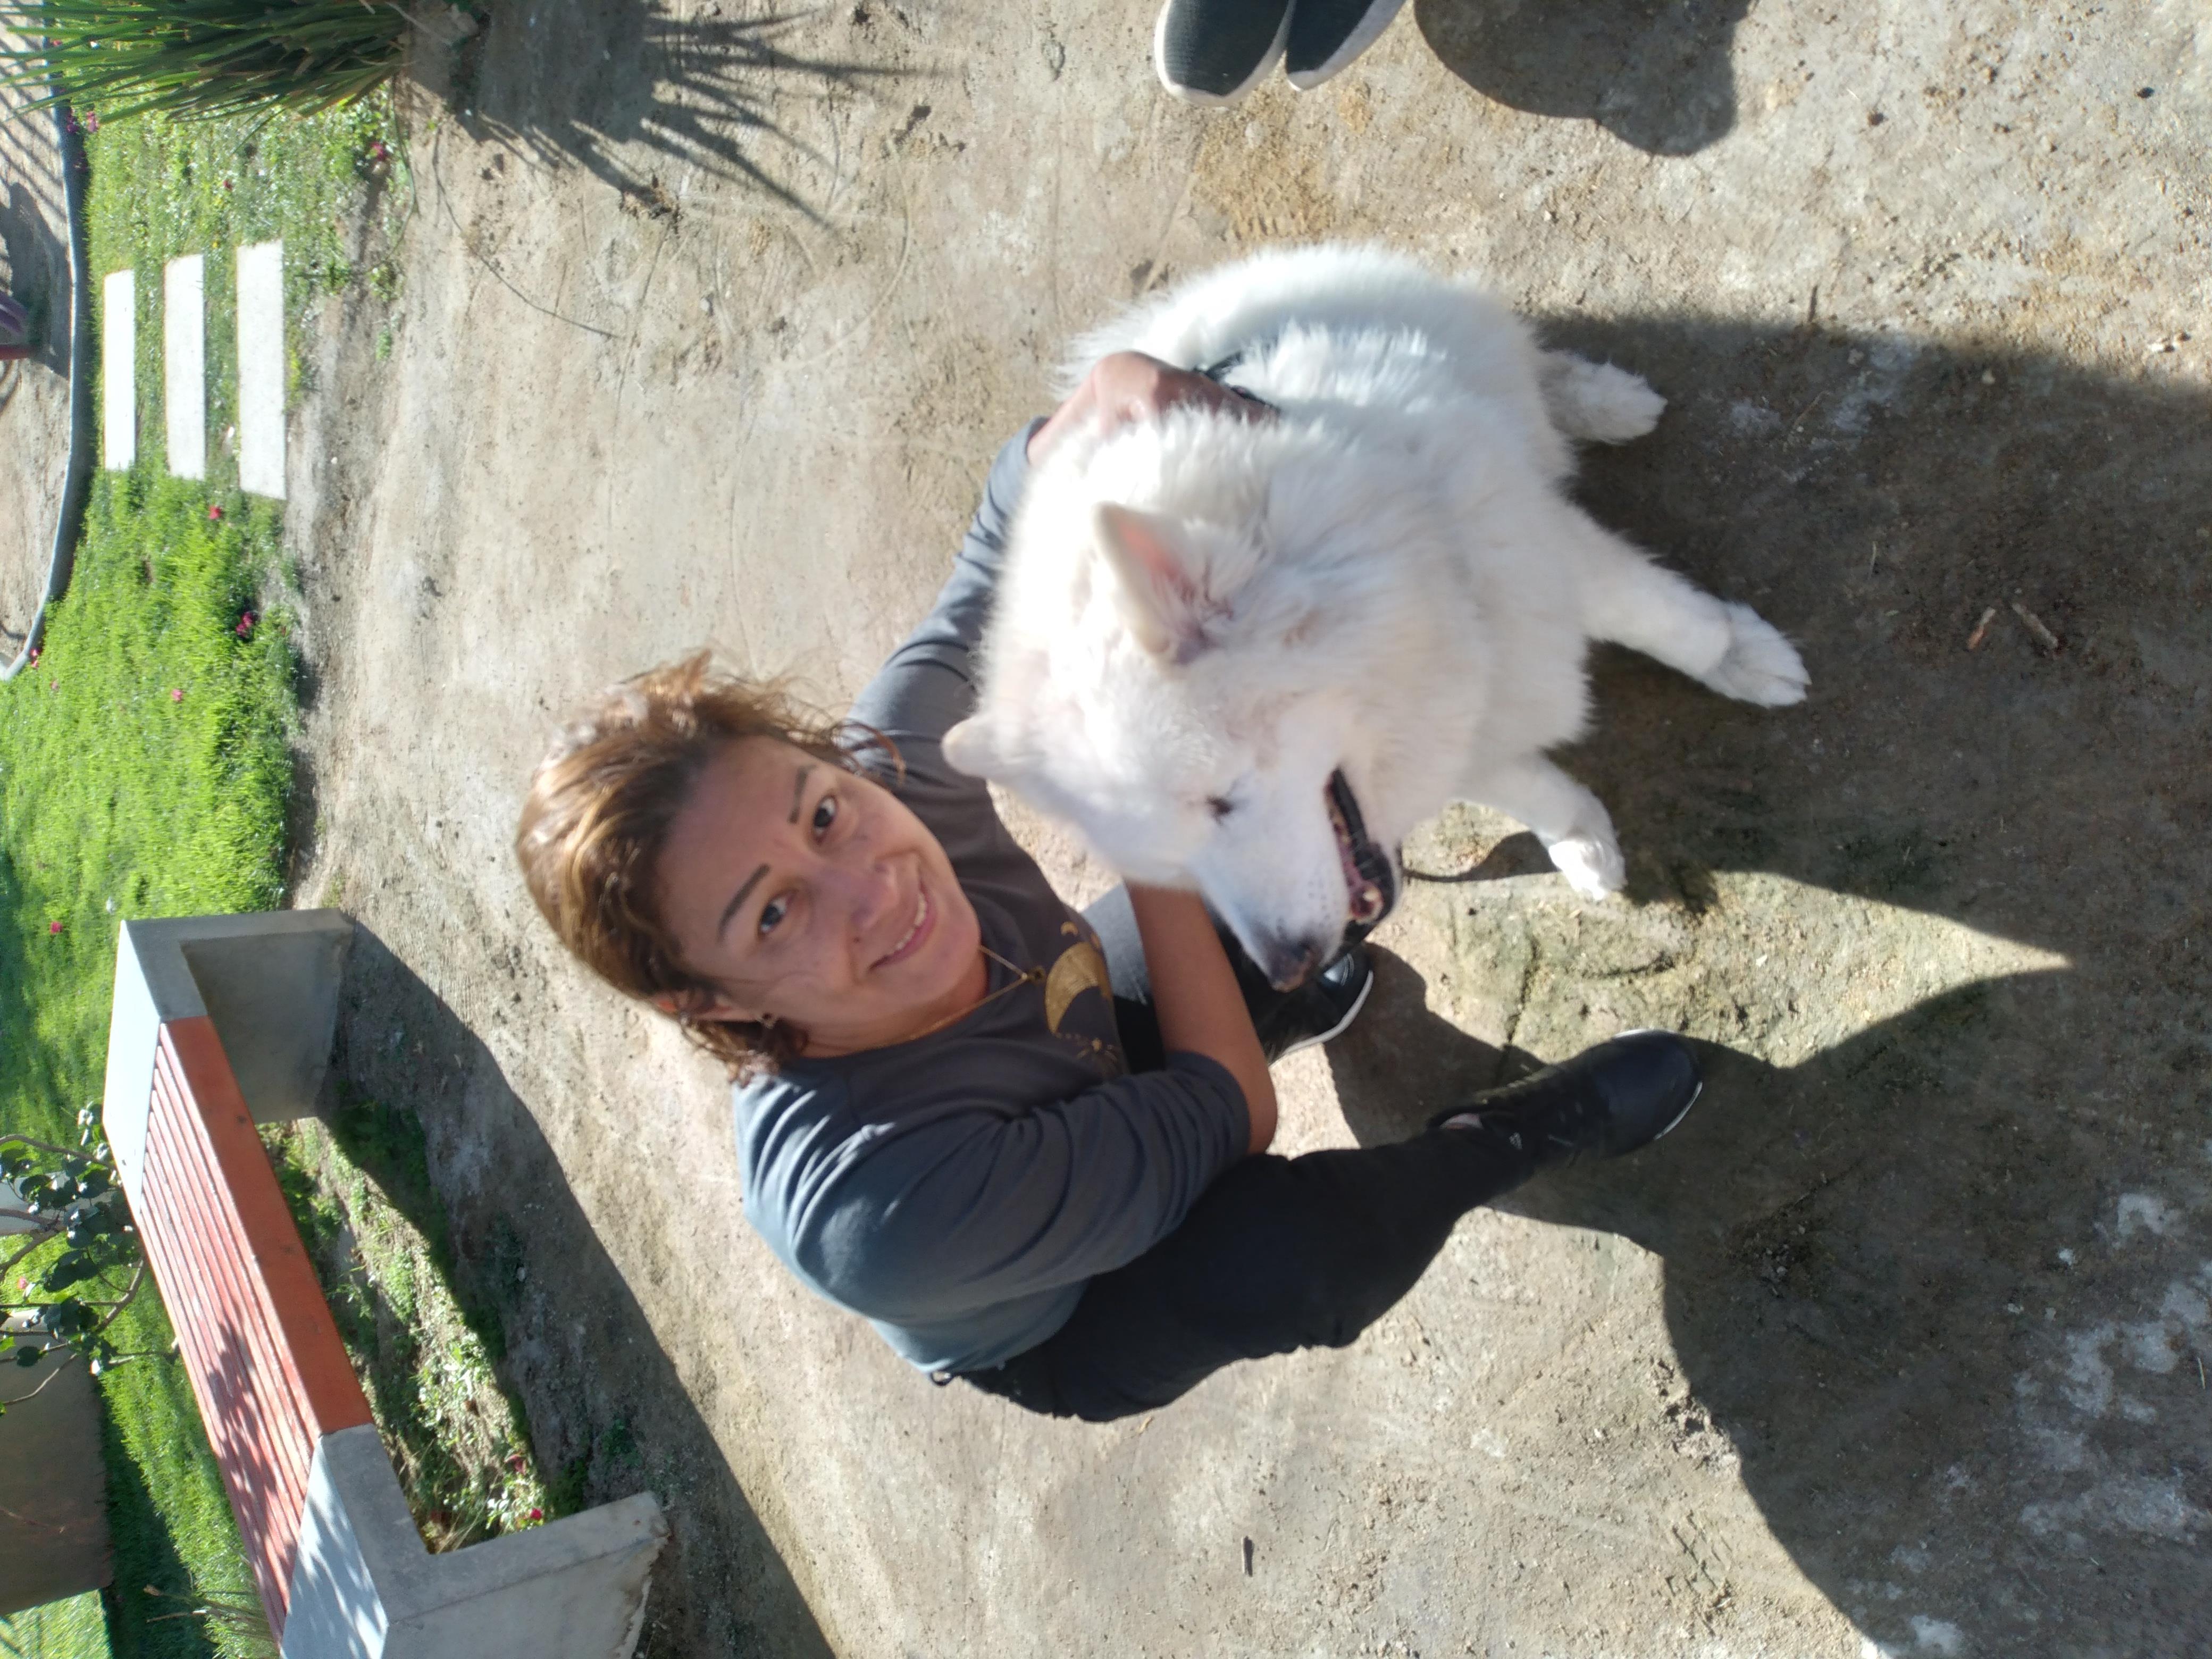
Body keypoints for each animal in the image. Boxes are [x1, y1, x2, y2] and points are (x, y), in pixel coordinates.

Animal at [943, 245, 1808, 989]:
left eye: (1224, 799)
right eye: (1177, 867)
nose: (1287, 972)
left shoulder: (1538, 556)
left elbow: (1667, 622)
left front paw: (1739, 659)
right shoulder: (1469, 730)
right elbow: (1530, 792)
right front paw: (1581, 843)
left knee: (1530, 361)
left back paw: (1601, 403)